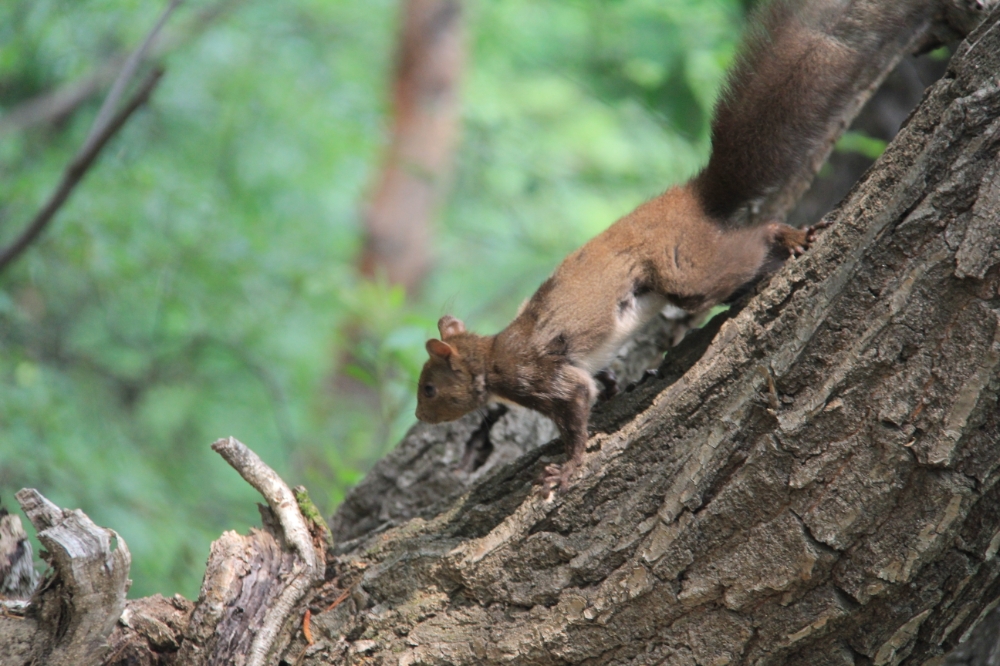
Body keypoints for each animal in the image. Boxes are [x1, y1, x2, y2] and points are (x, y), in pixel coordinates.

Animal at [416, 0, 928, 488]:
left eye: (429, 389)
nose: (421, 417)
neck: (491, 360)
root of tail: (691, 197)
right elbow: (599, 382)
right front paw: (615, 387)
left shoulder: (541, 376)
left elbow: (575, 412)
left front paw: (567, 468)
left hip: (688, 273)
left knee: (749, 242)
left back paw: (789, 235)